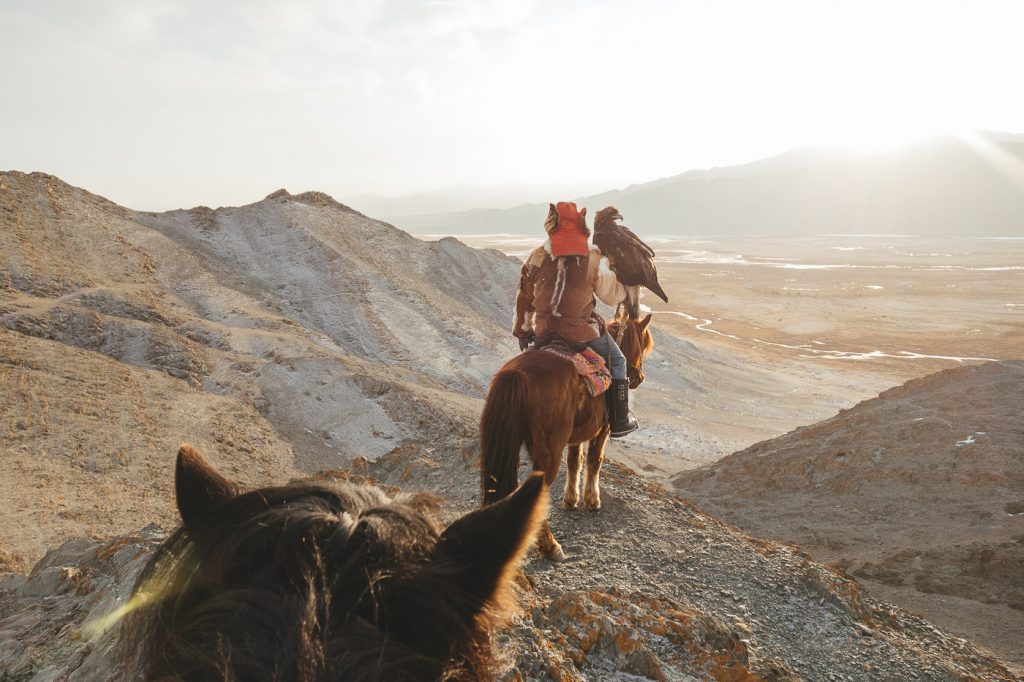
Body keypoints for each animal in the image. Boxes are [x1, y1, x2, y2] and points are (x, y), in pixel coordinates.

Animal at [481, 313, 655, 557]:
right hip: (548, 454)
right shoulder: (602, 429)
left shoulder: (577, 434)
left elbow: (574, 461)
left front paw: (571, 500)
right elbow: (594, 460)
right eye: (641, 344)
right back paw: (550, 546)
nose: (639, 377)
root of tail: (516, 374)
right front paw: (592, 500)